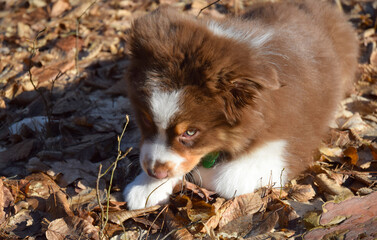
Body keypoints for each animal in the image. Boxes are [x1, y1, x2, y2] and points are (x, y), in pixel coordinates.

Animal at [122, 0, 356, 210]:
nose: (154, 172)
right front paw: (145, 188)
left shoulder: (291, 136)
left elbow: (227, 179)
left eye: (190, 132)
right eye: (146, 119)